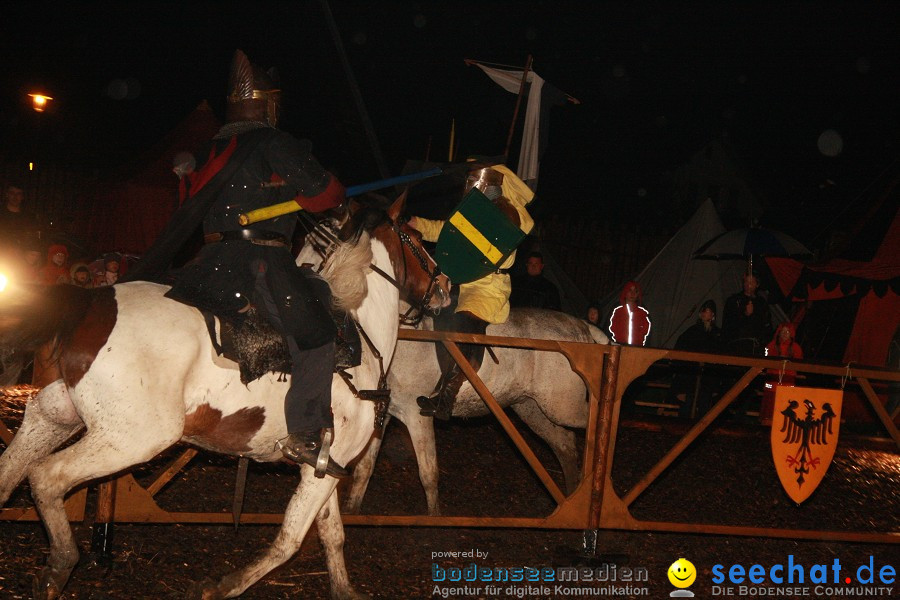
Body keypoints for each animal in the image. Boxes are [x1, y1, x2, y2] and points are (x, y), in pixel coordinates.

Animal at [0, 193, 450, 600]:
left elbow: (331, 533)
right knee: (46, 477)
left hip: (56, 416)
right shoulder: (327, 462)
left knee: (13, 468)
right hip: (132, 439)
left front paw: (344, 589)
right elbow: (289, 540)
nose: (444, 285)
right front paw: (221, 586)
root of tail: (91, 302)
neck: (360, 335)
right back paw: (59, 566)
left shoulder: (325, 466)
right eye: (416, 239)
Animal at [342, 308, 604, 516]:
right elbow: (364, 469)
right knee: (564, 443)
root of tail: (582, 326)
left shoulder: (416, 416)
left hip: (564, 407)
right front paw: (352, 511)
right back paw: (571, 497)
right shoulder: (383, 415)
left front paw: (434, 518)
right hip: (532, 408)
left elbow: (428, 473)